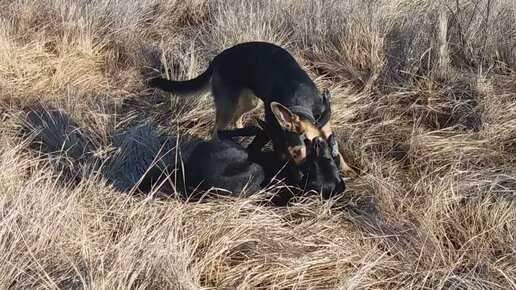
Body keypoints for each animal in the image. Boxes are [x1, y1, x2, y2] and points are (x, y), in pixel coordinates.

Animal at [149, 40, 356, 177]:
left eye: (297, 152)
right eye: (284, 158)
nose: (301, 176)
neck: (301, 106)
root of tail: (217, 60)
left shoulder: (325, 126)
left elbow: (337, 149)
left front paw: (347, 169)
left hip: (251, 101)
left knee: (237, 119)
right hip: (228, 105)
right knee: (216, 129)